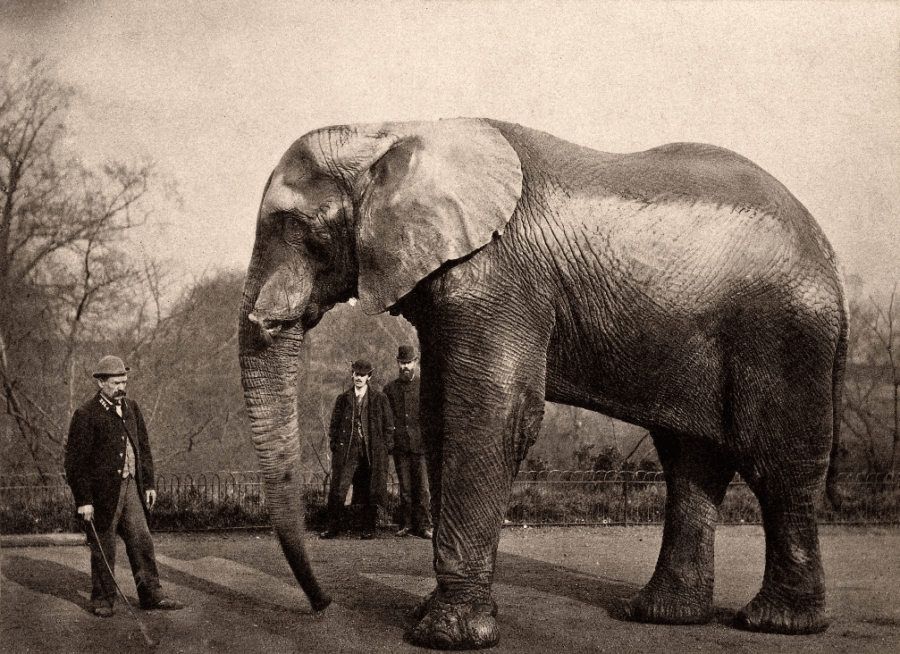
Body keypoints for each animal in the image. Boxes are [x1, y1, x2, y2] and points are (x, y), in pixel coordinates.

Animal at [237, 118, 844, 652]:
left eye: (301, 231)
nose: (323, 605)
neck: (391, 129)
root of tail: (830, 254)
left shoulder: (501, 275)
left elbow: (494, 413)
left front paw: (444, 636)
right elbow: (440, 415)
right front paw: (430, 617)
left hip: (784, 333)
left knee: (776, 464)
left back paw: (776, 624)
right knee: (691, 462)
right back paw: (660, 615)